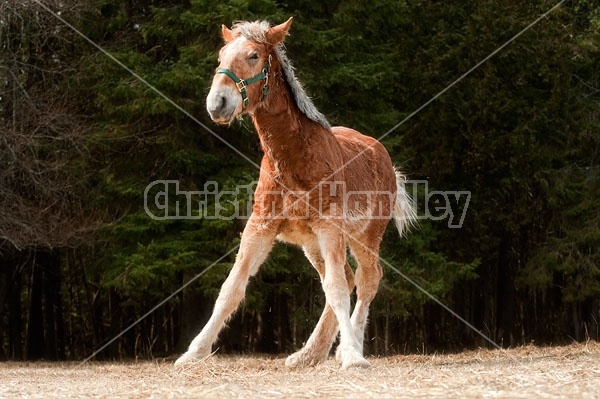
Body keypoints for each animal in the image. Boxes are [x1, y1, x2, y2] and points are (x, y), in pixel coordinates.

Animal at [176, 18, 414, 368]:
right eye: (220, 56)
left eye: (253, 56)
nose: (217, 103)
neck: (292, 157)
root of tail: (384, 158)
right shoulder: (260, 226)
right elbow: (232, 287)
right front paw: (194, 352)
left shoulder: (330, 227)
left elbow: (337, 289)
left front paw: (352, 357)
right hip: (312, 244)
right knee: (347, 278)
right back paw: (309, 353)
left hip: (365, 236)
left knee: (367, 279)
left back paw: (348, 347)